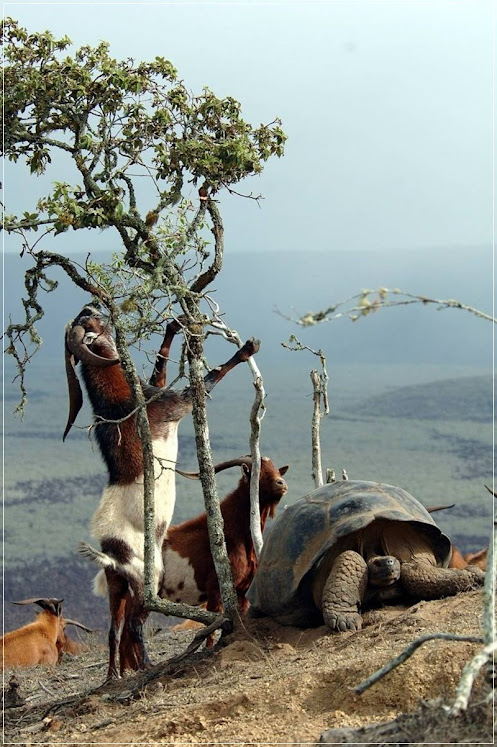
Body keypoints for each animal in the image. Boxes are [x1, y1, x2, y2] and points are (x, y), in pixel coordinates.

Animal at [68, 306, 262, 680]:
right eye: (88, 324)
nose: (90, 309)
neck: (121, 403)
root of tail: (109, 550)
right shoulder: (174, 406)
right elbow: (207, 380)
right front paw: (248, 348)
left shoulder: (155, 388)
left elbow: (161, 368)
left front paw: (174, 325)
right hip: (148, 580)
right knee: (135, 625)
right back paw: (148, 667)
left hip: (118, 588)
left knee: (114, 629)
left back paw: (114, 677)